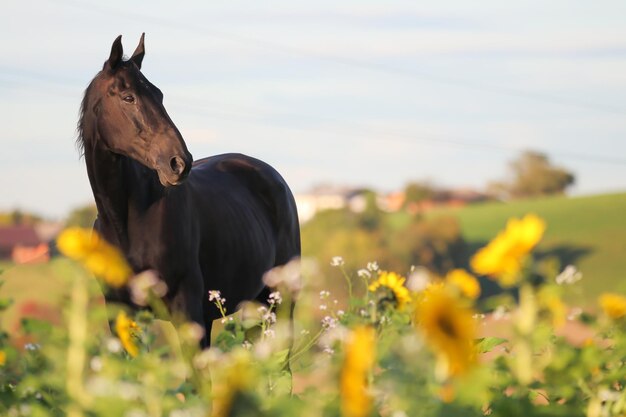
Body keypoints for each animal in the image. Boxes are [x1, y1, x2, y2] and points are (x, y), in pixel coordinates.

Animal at [78, 32, 300, 346]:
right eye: (128, 97)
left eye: (159, 95)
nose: (179, 162)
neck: (130, 222)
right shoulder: (120, 314)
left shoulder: (187, 313)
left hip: (277, 304)